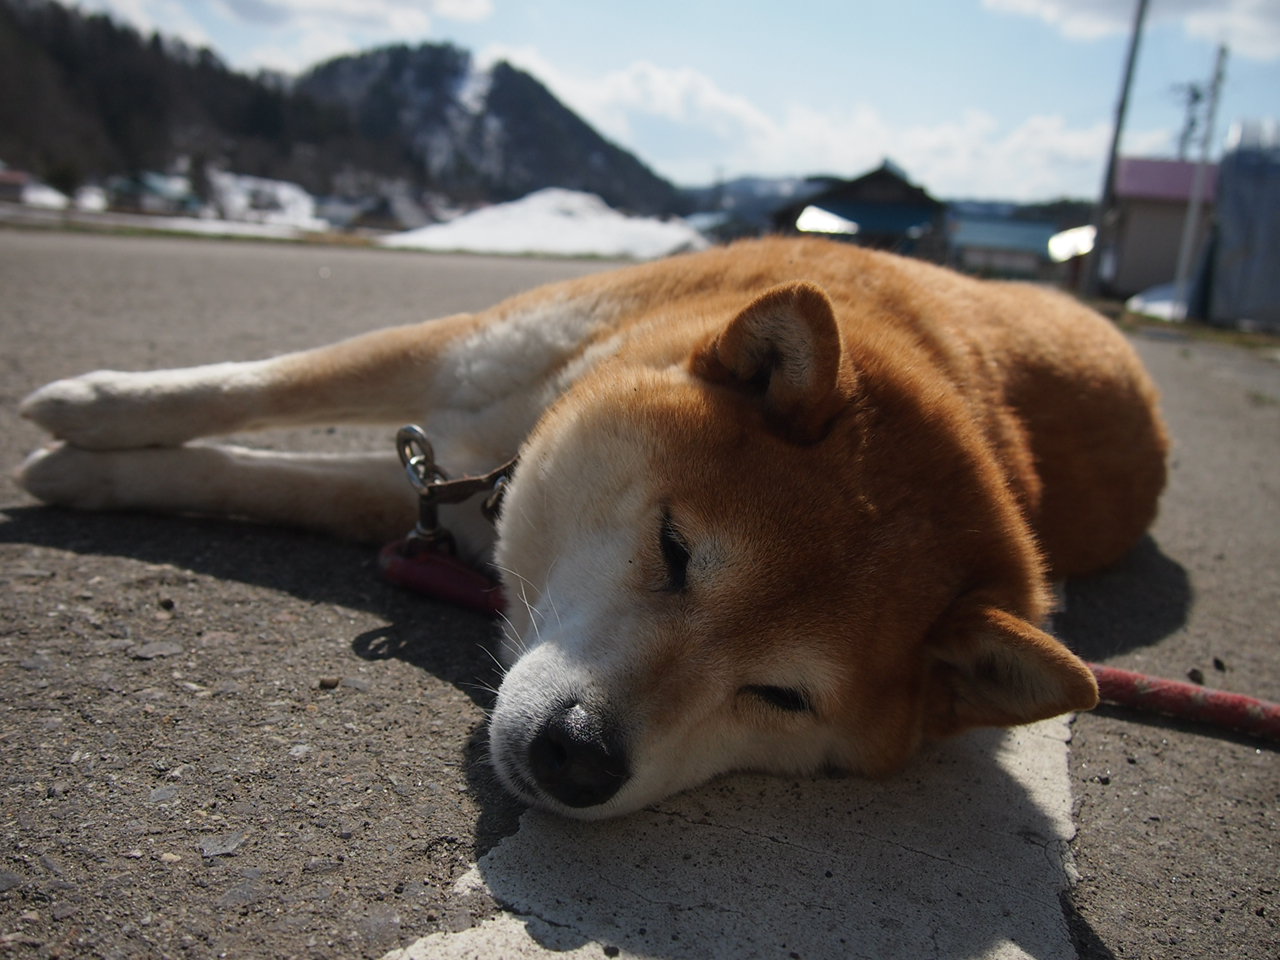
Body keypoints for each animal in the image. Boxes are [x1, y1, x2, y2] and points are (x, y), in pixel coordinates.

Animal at [18, 236, 1168, 819]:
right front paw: (92, 413)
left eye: (782, 697)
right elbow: (253, 387)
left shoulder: (437, 497)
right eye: (674, 551)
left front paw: (93, 471)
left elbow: (266, 478)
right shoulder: (463, 353)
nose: (578, 757)